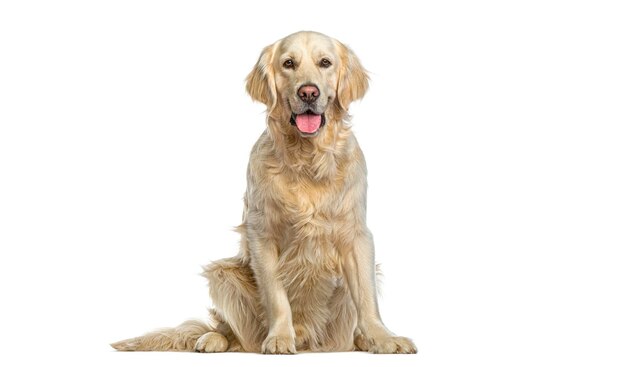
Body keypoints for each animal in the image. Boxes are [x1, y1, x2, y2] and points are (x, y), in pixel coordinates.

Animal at [110, 30, 416, 354]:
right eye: (288, 63)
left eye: (325, 62)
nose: (309, 93)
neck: (307, 160)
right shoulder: (262, 234)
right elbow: (276, 296)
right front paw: (280, 337)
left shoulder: (356, 235)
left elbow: (367, 298)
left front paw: (383, 338)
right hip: (222, 275)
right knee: (233, 334)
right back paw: (214, 339)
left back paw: (360, 339)